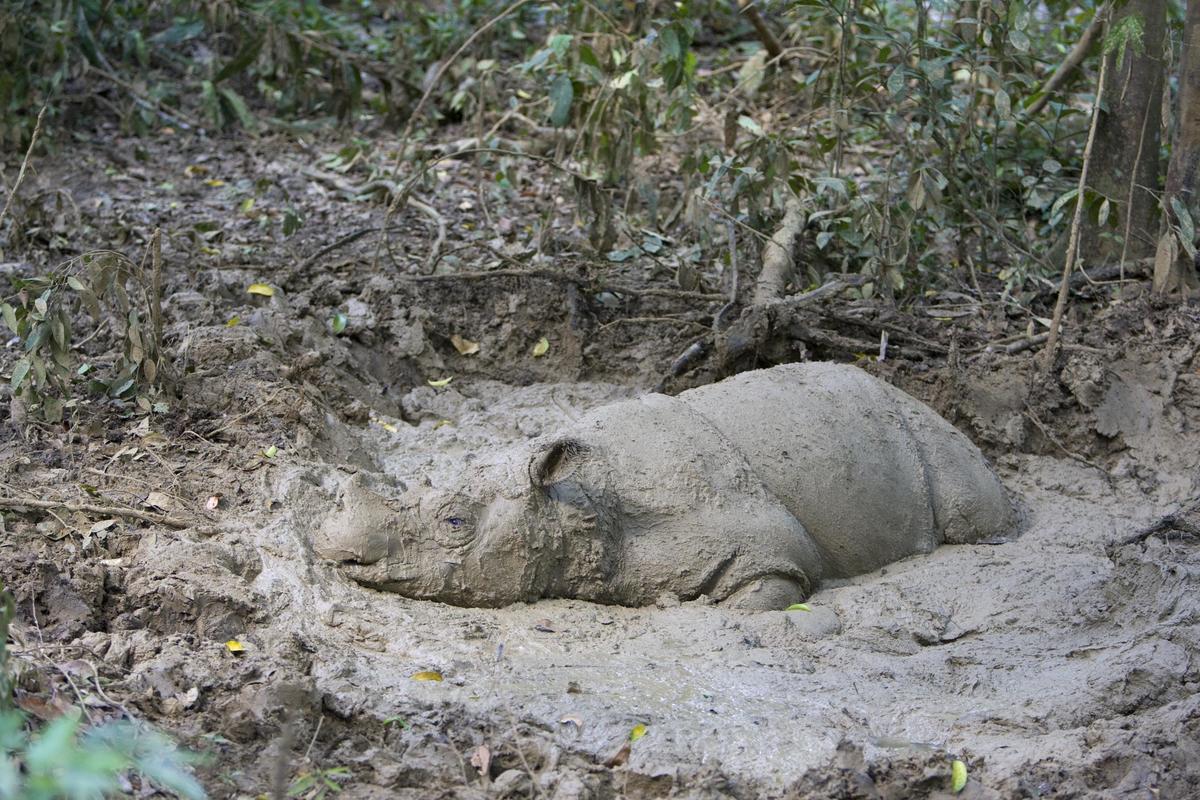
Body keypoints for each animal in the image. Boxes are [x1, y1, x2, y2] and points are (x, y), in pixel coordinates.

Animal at [314, 364, 1017, 614]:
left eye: (455, 524)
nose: (331, 544)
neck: (573, 503)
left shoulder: (766, 546)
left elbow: (759, 596)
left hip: (924, 432)